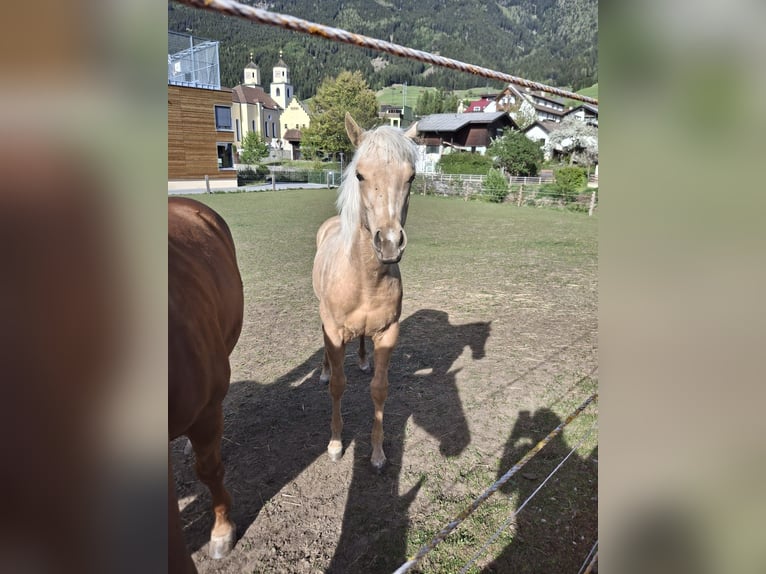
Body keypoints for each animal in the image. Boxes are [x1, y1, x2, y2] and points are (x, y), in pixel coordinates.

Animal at [312, 113, 418, 470]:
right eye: (359, 174)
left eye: (411, 177)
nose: (389, 243)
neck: (365, 280)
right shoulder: (333, 329)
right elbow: (337, 386)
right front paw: (334, 443)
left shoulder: (388, 333)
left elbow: (380, 390)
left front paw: (377, 452)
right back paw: (324, 371)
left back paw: (361, 360)